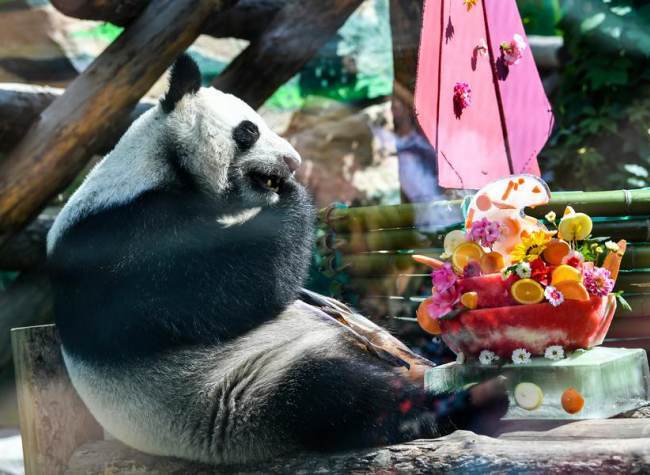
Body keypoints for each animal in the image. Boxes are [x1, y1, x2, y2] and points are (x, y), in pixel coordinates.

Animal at [47, 55, 508, 465]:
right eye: (248, 130)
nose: (292, 161)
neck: (160, 166)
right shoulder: (120, 239)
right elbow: (227, 286)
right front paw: (291, 193)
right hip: (232, 393)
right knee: (331, 395)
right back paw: (458, 400)